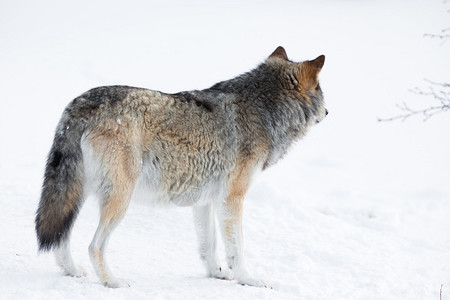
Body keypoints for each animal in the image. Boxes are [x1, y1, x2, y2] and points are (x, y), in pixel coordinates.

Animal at [33, 47, 326, 288]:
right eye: (322, 90)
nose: (328, 112)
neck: (264, 111)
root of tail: (82, 104)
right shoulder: (232, 198)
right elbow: (237, 249)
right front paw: (248, 279)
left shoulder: (206, 201)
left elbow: (209, 246)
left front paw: (217, 274)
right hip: (120, 198)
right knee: (94, 246)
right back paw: (113, 282)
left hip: (76, 193)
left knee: (60, 238)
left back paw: (73, 272)